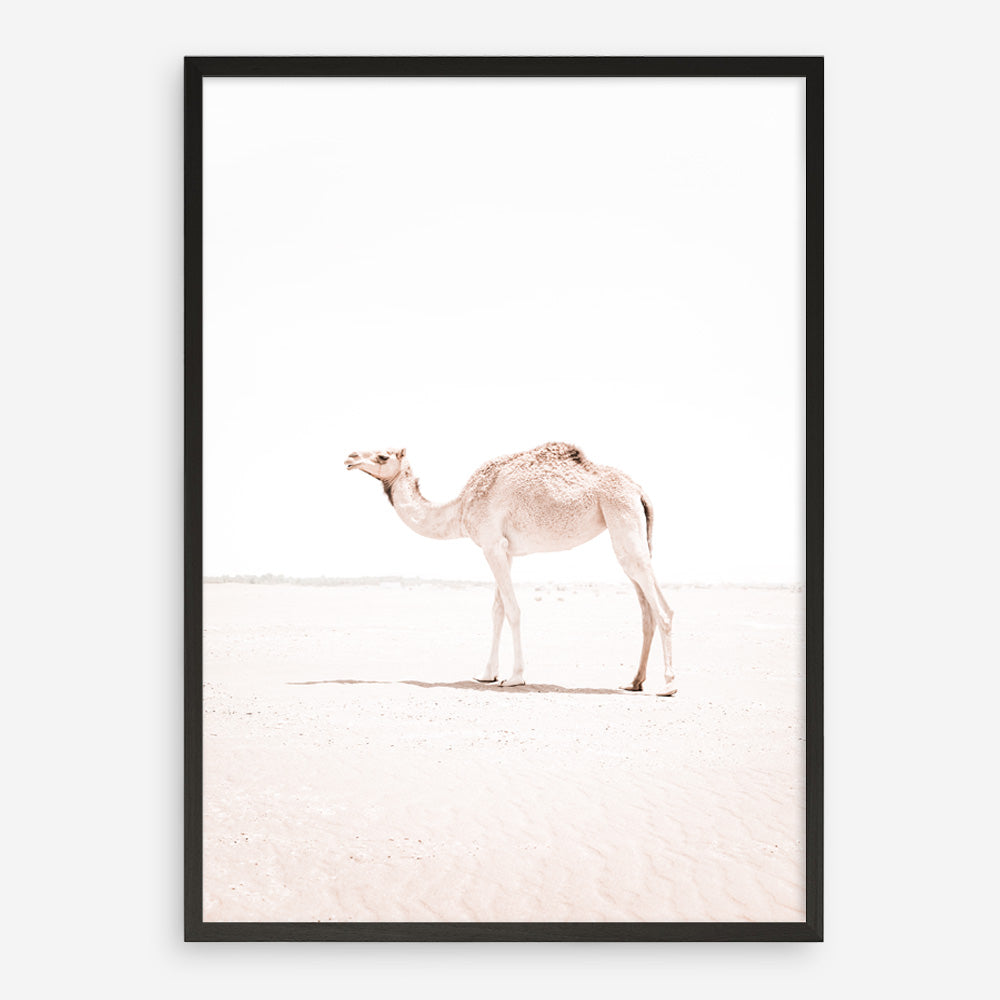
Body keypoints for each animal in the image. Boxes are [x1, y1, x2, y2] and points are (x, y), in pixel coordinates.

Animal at [344, 442, 676, 695]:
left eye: (382, 456)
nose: (350, 457)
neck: (461, 508)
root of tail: (639, 491)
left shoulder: (491, 545)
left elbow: (513, 609)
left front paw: (515, 677)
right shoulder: (505, 550)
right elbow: (497, 610)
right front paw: (486, 673)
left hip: (622, 518)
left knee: (662, 609)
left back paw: (668, 685)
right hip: (631, 529)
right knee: (646, 609)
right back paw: (634, 682)